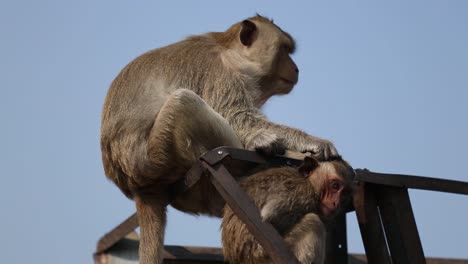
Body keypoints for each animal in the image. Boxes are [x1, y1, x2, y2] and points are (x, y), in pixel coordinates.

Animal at [100, 15, 338, 262]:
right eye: (283, 49)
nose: (296, 68)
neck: (231, 53)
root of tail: (137, 185)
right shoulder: (221, 74)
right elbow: (237, 115)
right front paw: (311, 141)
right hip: (159, 156)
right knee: (183, 102)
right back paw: (261, 146)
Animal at [221, 157, 352, 264]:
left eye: (344, 193)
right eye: (335, 186)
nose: (336, 203)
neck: (309, 184)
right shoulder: (299, 193)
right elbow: (268, 217)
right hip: (266, 258)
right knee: (313, 221)